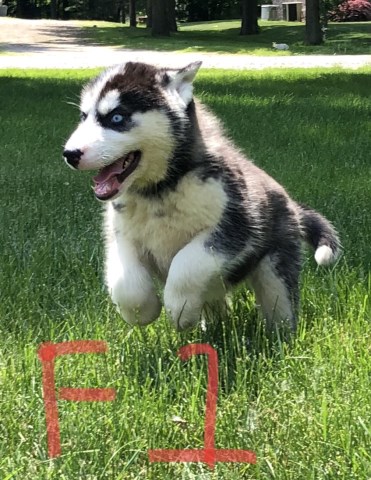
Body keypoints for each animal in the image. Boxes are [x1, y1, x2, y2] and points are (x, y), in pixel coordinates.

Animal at [63, 62, 340, 332]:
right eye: (83, 117)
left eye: (117, 117)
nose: (69, 154)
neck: (160, 189)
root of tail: (292, 204)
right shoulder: (122, 236)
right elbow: (127, 285)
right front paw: (142, 312)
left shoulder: (234, 227)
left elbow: (186, 263)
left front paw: (180, 311)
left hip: (276, 265)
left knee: (279, 305)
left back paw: (280, 338)